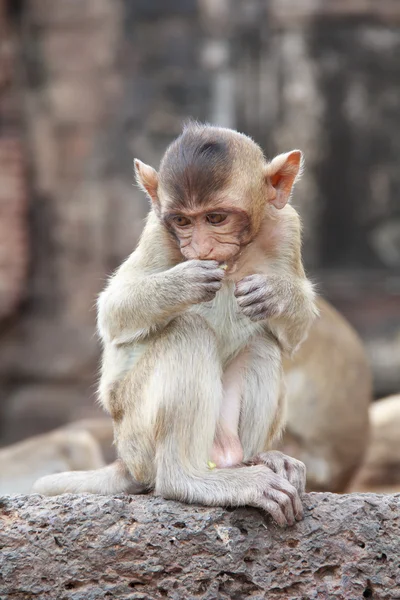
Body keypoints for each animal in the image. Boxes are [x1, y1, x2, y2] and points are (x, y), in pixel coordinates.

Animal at [32, 124, 318, 528]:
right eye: (182, 221)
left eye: (216, 218)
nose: (200, 249)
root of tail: (126, 462)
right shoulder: (157, 231)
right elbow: (114, 311)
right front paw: (184, 282)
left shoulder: (286, 227)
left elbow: (292, 335)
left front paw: (275, 293)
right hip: (136, 433)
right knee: (188, 332)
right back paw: (187, 479)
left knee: (262, 344)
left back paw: (252, 460)